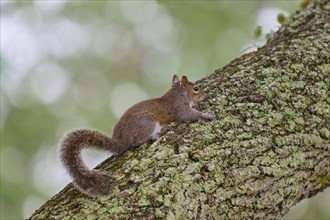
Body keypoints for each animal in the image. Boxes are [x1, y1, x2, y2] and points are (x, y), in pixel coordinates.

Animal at [60, 75, 215, 197]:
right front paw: (207, 115)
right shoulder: (179, 109)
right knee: (137, 142)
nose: (206, 95)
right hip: (147, 122)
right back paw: (152, 137)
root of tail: (120, 141)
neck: (177, 95)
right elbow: (189, 115)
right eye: (196, 88)